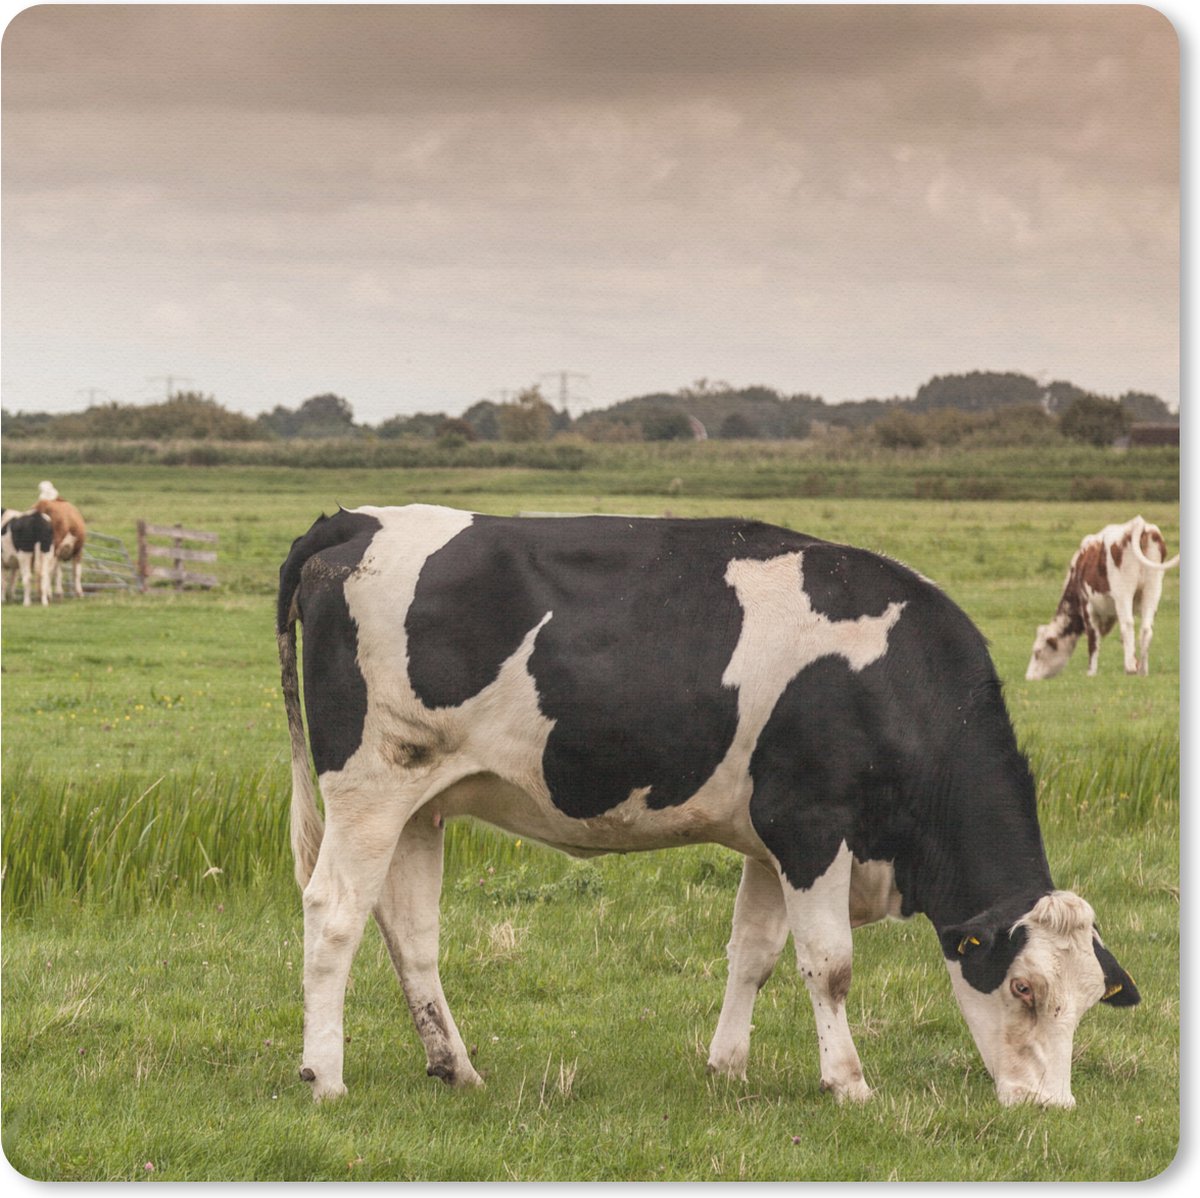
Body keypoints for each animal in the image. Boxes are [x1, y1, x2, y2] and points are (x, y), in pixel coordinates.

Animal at [277, 504, 1139, 1109]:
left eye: (1088, 1002)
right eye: (1024, 989)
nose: (1052, 1106)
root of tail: (356, 521)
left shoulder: (769, 840)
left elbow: (752, 953)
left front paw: (728, 1067)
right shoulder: (810, 825)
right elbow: (829, 964)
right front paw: (849, 1082)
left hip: (419, 803)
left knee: (410, 932)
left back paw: (455, 1069)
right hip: (368, 785)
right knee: (334, 914)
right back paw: (324, 1075)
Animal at [1026, 515, 1179, 680]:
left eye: (1037, 652)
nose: (1028, 678)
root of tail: (1138, 523)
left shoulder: (1087, 605)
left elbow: (1093, 640)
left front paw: (1091, 672)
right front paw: (1134, 662)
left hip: (1123, 592)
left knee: (1128, 625)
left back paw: (1131, 669)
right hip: (1153, 589)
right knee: (1146, 629)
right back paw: (1143, 670)